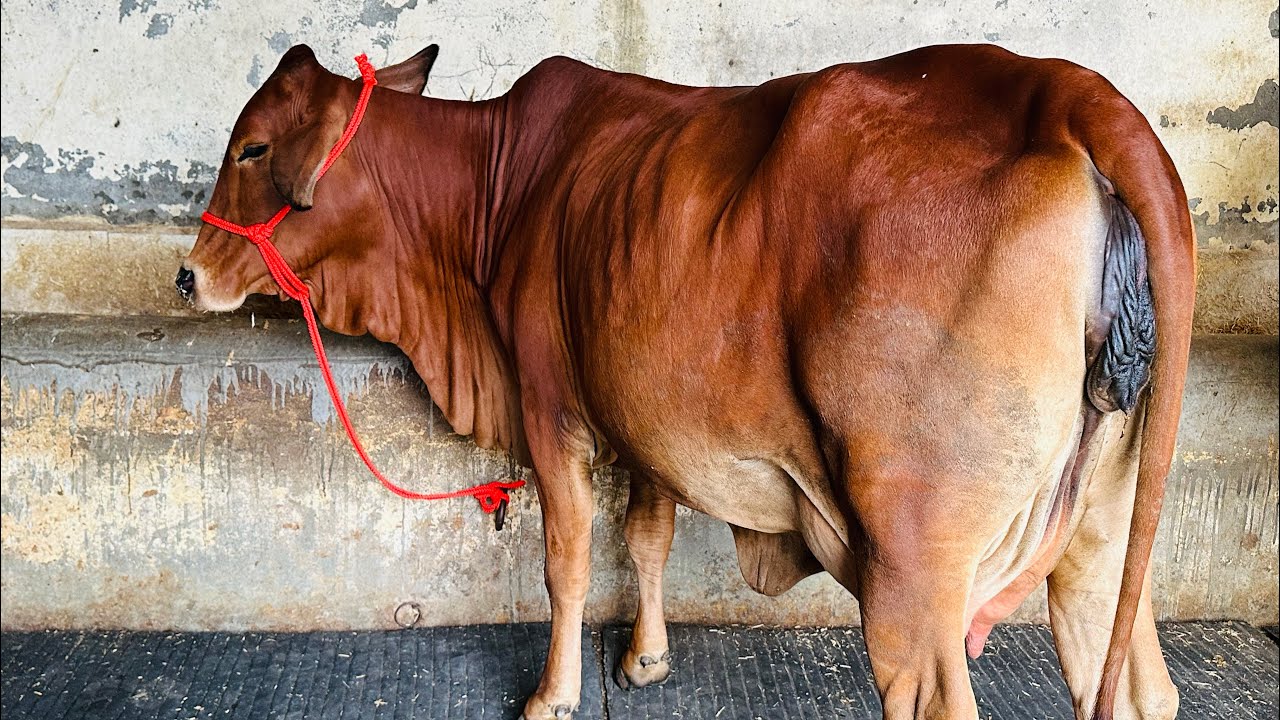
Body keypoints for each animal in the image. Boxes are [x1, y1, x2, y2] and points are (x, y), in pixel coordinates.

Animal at [177, 43, 1195, 720]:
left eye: (254, 148)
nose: (188, 275)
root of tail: (1071, 94)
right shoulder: (649, 419)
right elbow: (649, 536)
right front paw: (647, 660)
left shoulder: (550, 404)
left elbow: (568, 558)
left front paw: (552, 696)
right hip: (1102, 532)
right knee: (1137, 681)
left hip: (916, 560)